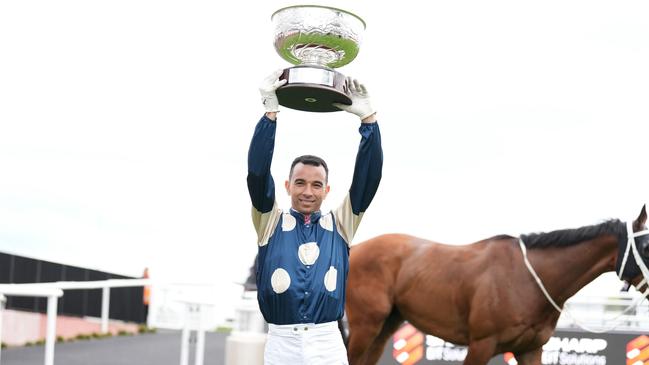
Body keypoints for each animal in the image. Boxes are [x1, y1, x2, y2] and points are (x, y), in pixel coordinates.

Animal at [344, 205, 648, 364]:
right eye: (646, 245)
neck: (529, 279)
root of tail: (353, 248)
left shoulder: (530, 349)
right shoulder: (481, 345)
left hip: (385, 327)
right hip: (365, 326)